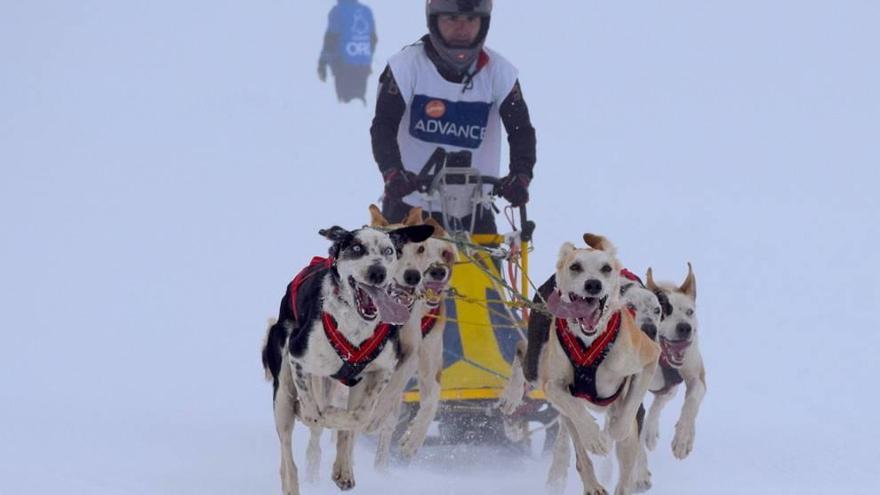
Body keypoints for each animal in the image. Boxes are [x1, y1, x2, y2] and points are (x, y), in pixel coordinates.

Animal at [262, 224, 434, 495]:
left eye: (388, 251)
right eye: (356, 248)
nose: (377, 272)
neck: (355, 325)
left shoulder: (381, 371)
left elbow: (358, 418)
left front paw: (337, 426)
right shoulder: (298, 356)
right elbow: (312, 412)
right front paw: (316, 413)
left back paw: (343, 467)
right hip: (283, 391)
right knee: (287, 453)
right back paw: (292, 483)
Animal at [640, 266, 708, 464]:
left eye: (690, 312)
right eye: (664, 312)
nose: (685, 327)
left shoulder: (695, 376)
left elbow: (691, 403)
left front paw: (683, 439)